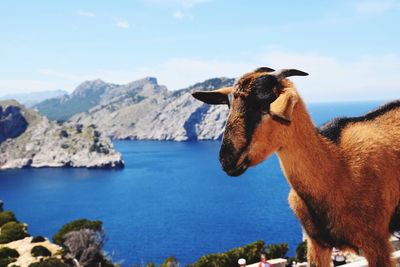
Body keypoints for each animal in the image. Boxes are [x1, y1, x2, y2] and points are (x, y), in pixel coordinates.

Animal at [191, 67, 400, 267]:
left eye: (265, 103)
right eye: (229, 105)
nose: (227, 159)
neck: (338, 167)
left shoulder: (377, 243)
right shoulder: (317, 243)